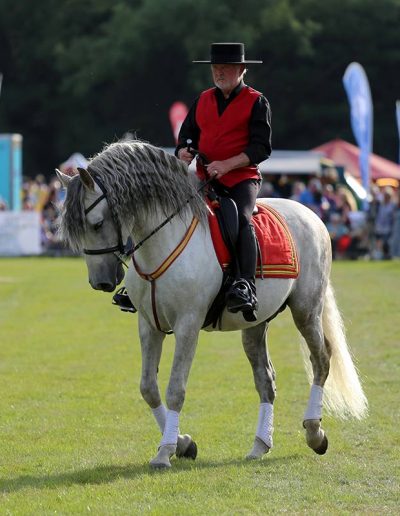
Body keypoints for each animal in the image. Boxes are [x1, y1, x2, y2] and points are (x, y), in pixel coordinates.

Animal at [57, 140, 368, 468]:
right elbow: (148, 388)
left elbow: (175, 389)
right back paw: (260, 445)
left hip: (306, 310)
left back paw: (314, 433)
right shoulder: (149, 325)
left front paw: (166, 450)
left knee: (321, 358)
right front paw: (183, 443)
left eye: (97, 223)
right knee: (265, 380)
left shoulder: (188, 325)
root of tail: (310, 215)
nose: (101, 281)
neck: (163, 241)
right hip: (255, 324)